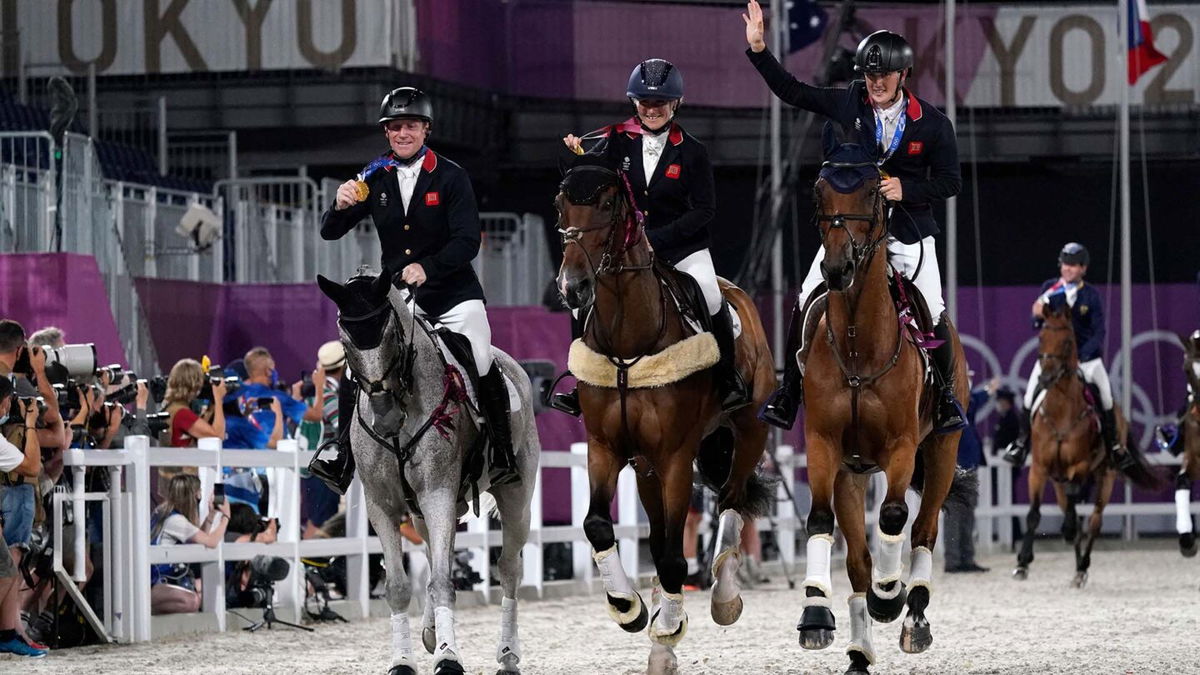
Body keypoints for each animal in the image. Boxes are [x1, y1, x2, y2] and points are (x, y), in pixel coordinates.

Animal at [314, 269, 540, 672]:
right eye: (345, 339)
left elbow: (443, 582)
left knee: (509, 569)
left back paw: (507, 654)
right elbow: (400, 585)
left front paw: (448, 657)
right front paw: (404, 659)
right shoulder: (383, 504)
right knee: (438, 559)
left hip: (515, 499)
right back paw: (432, 631)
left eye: (390, 334)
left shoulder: (437, 492)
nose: (385, 415)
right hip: (422, 512)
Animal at [554, 158, 772, 672]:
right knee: (659, 536)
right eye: (559, 204)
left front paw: (670, 624)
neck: (627, 344)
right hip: (645, 467)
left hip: (747, 432)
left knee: (731, 504)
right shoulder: (606, 449)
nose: (572, 287)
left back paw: (723, 597)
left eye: (607, 204)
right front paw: (628, 607)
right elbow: (599, 526)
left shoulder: (675, 456)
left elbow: (675, 557)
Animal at [796, 127, 974, 672]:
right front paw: (816, 615)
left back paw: (911, 614)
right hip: (853, 474)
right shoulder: (823, 444)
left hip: (941, 452)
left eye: (875, 193)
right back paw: (859, 650)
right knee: (857, 560)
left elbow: (895, 516)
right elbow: (820, 520)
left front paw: (889, 597)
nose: (838, 268)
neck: (858, 342)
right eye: (819, 194)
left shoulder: (902, 446)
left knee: (923, 530)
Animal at [1012, 300, 1161, 583]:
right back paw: (1076, 556)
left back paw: (1082, 566)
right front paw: (1022, 563)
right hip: (1057, 479)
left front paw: (1068, 531)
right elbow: (1034, 514)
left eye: (1067, 342)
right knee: (1071, 511)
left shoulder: (1079, 467)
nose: (1045, 379)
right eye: (1041, 338)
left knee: (1093, 520)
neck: (1060, 411)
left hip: (1106, 476)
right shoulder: (1039, 468)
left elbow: (1076, 503)